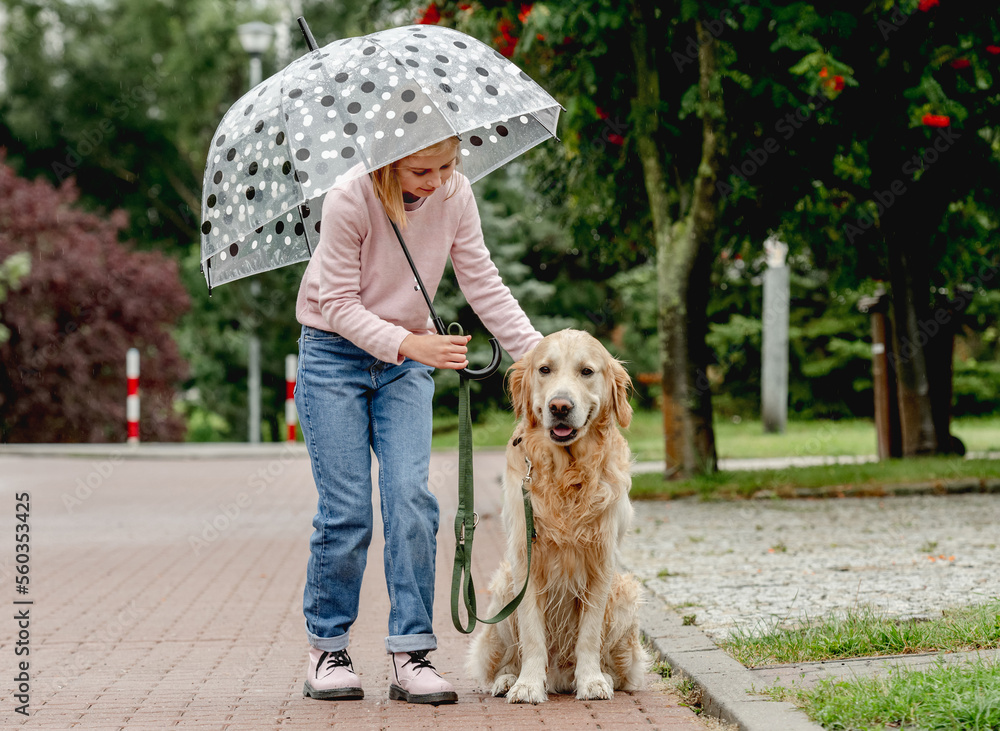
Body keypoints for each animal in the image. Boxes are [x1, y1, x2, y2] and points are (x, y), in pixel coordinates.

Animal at [468, 330, 648, 704]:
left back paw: (602, 677)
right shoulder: (526, 562)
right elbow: (532, 633)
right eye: (545, 369)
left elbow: (589, 633)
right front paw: (527, 684)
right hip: (503, 590)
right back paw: (508, 678)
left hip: (626, 592)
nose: (560, 406)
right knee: (506, 657)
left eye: (587, 371)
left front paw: (591, 680)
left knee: (622, 674)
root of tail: (560, 678)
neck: (567, 472)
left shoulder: (601, 562)